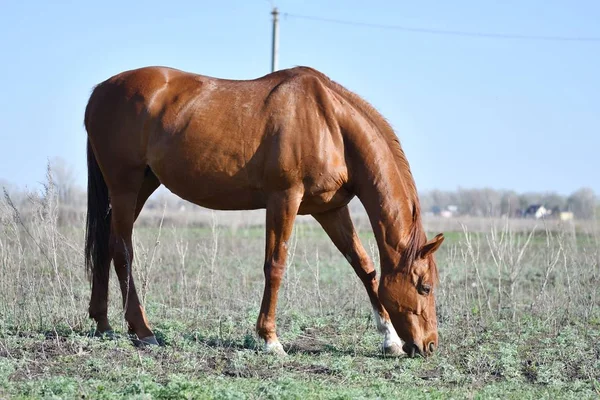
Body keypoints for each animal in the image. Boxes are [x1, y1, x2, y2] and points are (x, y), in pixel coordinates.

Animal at [82, 65, 442, 356]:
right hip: (125, 186)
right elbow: (276, 265)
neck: (330, 122)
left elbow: (364, 267)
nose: (429, 345)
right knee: (122, 251)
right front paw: (270, 340)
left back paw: (103, 324)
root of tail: (99, 91)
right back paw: (143, 331)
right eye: (425, 286)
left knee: (106, 246)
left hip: (142, 185)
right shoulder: (284, 199)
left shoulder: (331, 209)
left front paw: (390, 340)